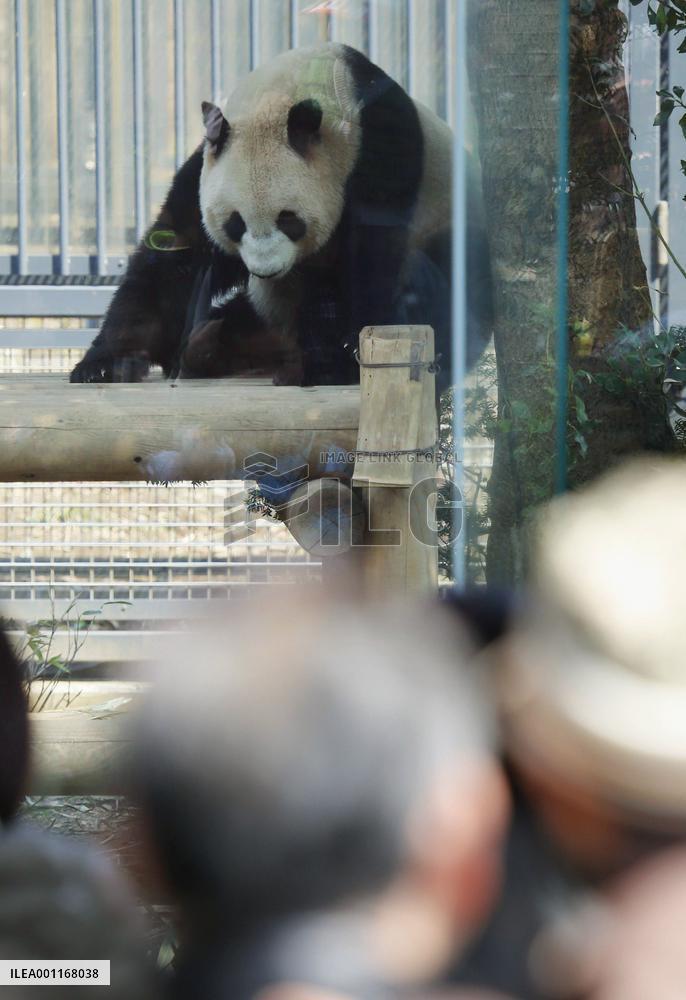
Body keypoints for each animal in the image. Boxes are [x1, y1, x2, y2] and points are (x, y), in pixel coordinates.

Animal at [70, 43, 492, 392]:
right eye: (235, 223)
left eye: (289, 219)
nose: (266, 271)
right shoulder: (205, 167)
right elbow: (173, 258)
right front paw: (107, 363)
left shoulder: (382, 160)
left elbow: (370, 266)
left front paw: (334, 364)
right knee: (239, 321)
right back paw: (205, 350)